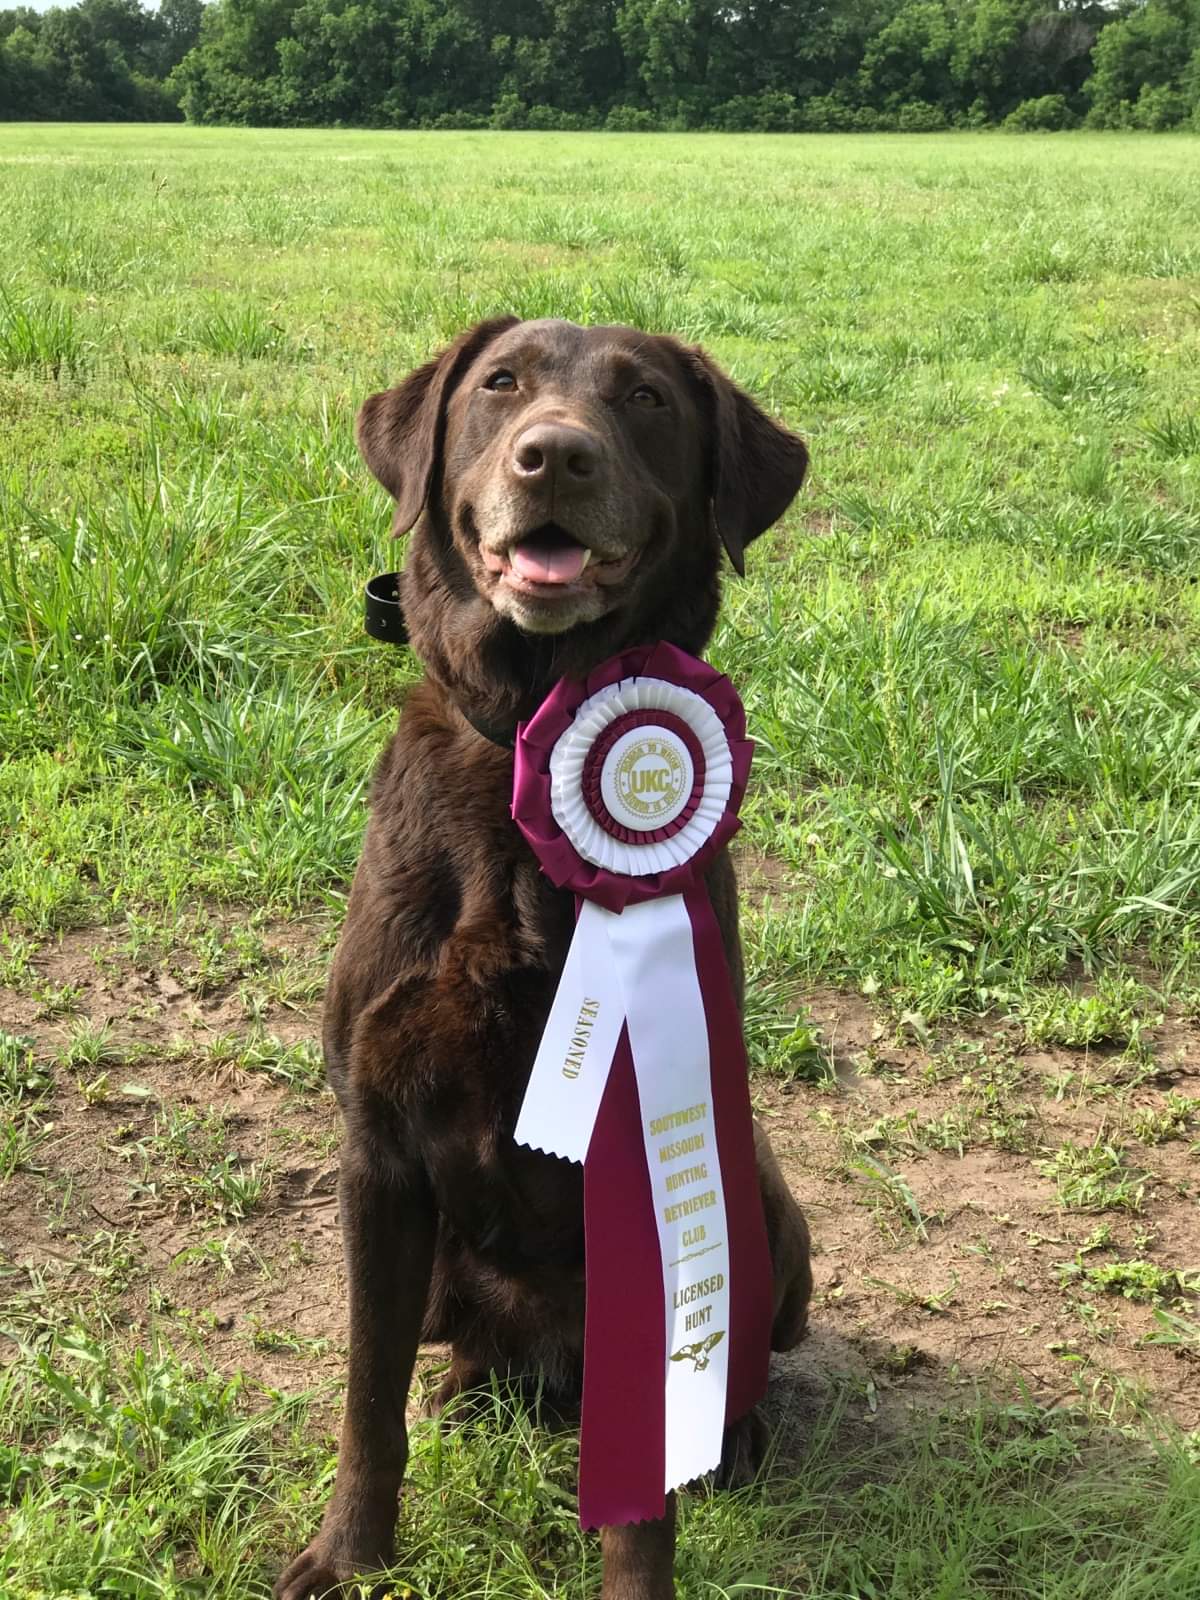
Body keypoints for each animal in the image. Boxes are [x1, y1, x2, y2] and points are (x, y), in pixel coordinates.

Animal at [276, 315, 812, 1600]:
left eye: (648, 398)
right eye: (501, 384)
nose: (555, 457)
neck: (530, 734)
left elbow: (642, 1498)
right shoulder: (375, 1149)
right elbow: (367, 1397)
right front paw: (350, 1554)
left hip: (769, 1196)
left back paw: (735, 1444)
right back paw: (476, 1391)